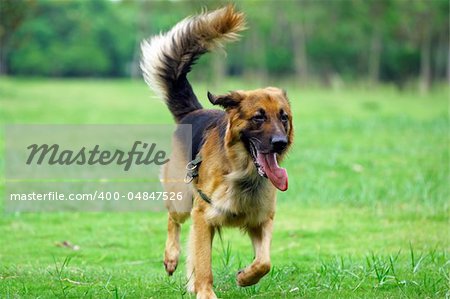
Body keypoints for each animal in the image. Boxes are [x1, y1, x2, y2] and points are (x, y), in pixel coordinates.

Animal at [142, 5, 296, 299]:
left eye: (284, 118)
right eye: (258, 118)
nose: (280, 143)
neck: (242, 174)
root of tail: (193, 112)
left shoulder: (262, 219)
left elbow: (264, 261)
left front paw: (245, 277)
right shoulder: (203, 217)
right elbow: (203, 263)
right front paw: (205, 291)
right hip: (182, 199)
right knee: (172, 220)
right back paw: (171, 257)